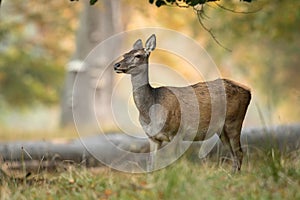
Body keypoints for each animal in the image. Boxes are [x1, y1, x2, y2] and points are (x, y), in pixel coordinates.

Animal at [113, 34, 252, 172]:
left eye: (138, 55)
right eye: (125, 54)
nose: (116, 65)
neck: (150, 109)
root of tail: (249, 91)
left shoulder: (176, 132)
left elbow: (174, 164)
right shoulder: (152, 138)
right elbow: (151, 164)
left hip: (234, 121)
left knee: (239, 153)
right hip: (221, 130)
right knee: (233, 154)